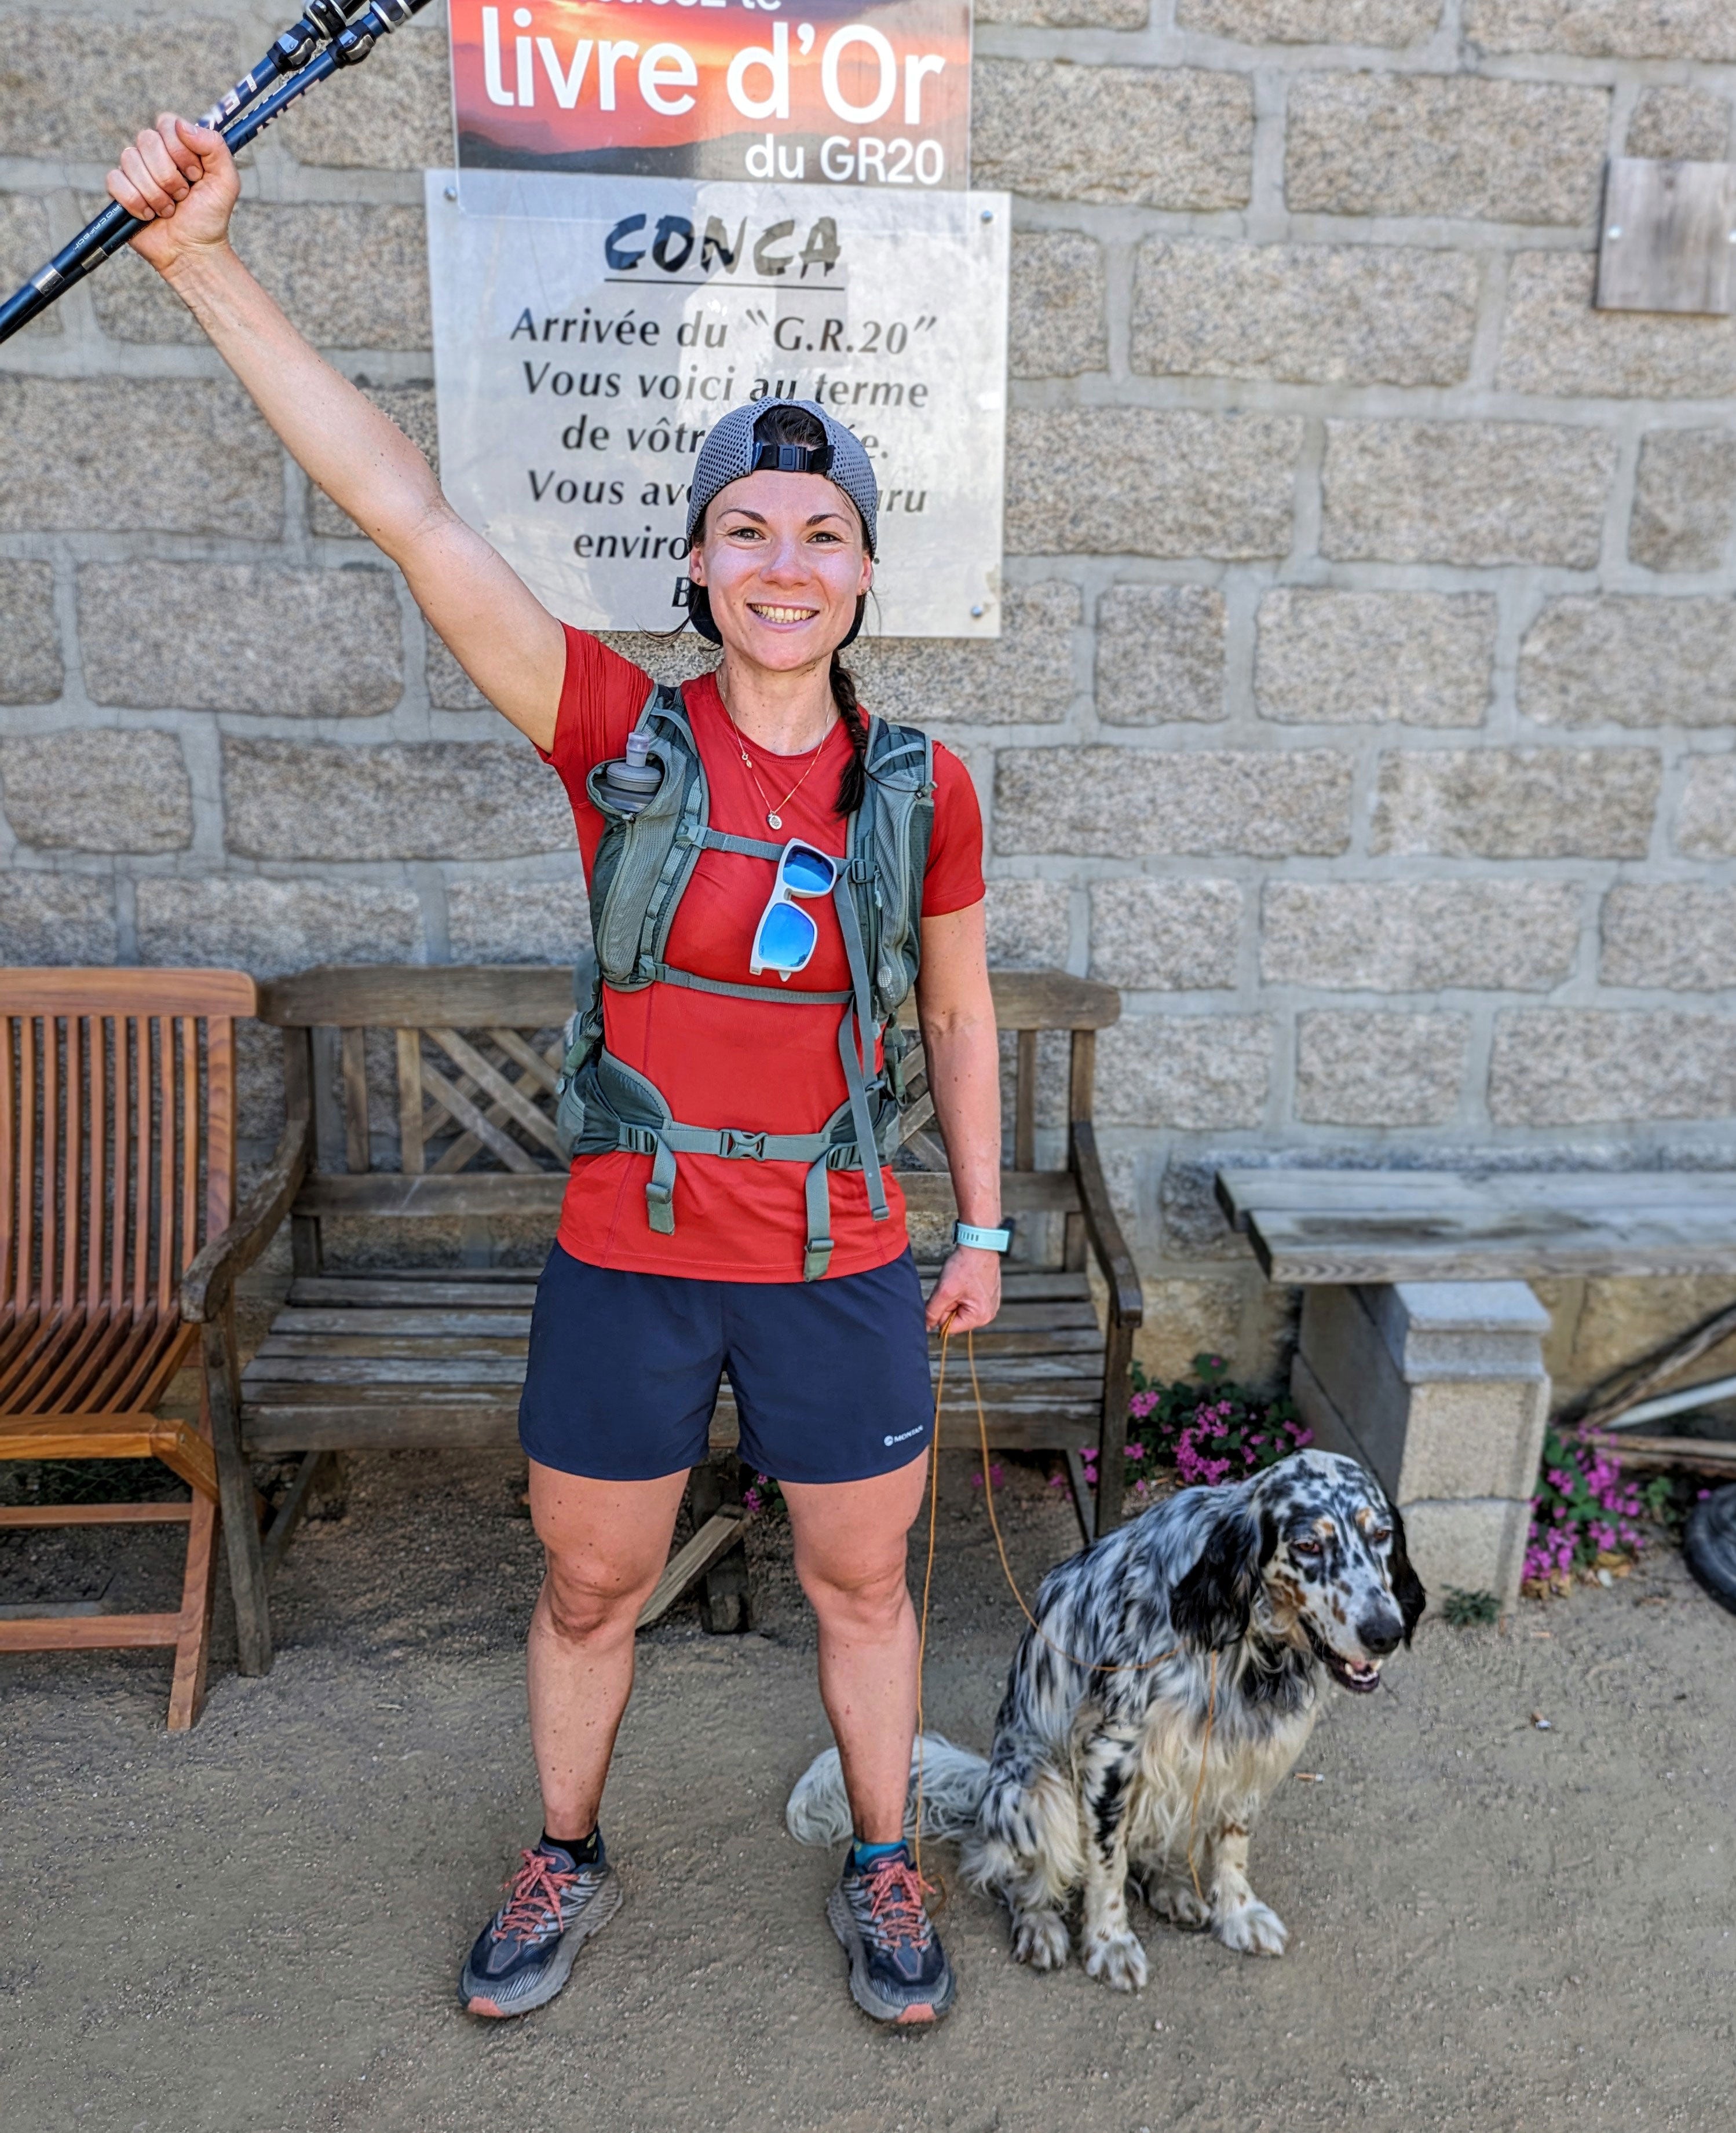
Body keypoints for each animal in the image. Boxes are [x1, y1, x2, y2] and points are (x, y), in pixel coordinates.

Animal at [789, 1441, 1424, 1988]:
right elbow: (1105, 1864)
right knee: (1010, 1873)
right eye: (1308, 1545)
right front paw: (1109, 1942)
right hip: (1035, 1788)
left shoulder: (1249, 1747)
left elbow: (1230, 1841)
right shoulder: (1112, 1751)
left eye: (1382, 1535)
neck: (1239, 1634)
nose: (1386, 1632)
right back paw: (1040, 1922)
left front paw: (1238, 1913)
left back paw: (1170, 1885)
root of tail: (986, 1782)